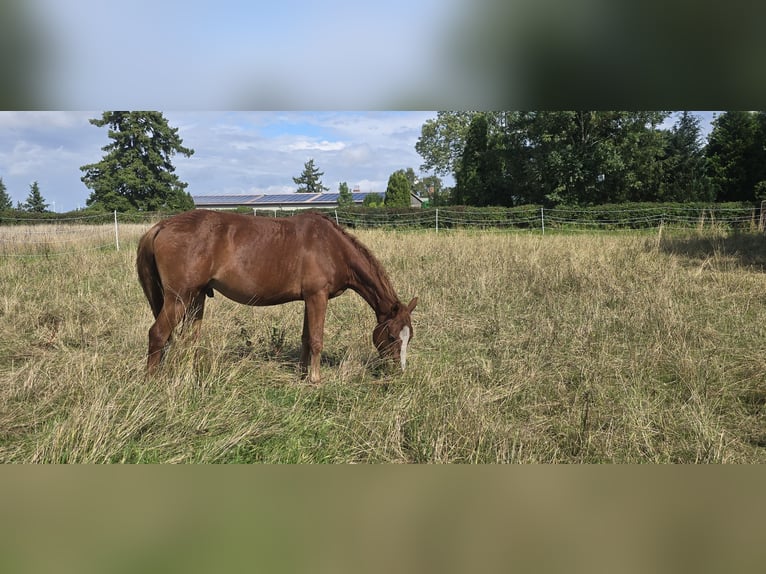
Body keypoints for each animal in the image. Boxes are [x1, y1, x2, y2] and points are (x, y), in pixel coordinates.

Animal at [136, 209, 417, 383]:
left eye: (409, 337)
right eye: (392, 336)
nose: (399, 371)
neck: (332, 247)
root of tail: (161, 226)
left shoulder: (309, 299)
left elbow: (306, 338)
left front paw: (303, 375)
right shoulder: (317, 297)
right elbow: (316, 339)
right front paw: (316, 379)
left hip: (196, 298)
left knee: (189, 339)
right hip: (178, 298)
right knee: (158, 334)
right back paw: (152, 382)